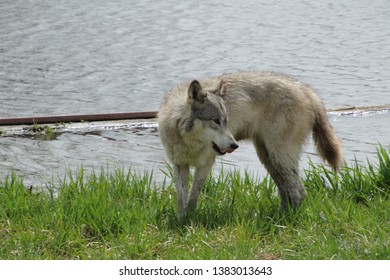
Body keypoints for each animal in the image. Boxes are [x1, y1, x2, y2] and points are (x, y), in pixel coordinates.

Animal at [157, 70, 342, 219]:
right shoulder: (180, 165)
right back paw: (278, 216)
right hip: (268, 158)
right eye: (216, 121)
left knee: (298, 192)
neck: (187, 139)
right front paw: (182, 220)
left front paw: (190, 220)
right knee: (286, 191)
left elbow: (193, 196)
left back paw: (287, 221)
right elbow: (181, 198)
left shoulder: (205, 165)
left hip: (280, 157)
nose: (234, 146)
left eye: (226, 121)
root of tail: (306, 90)